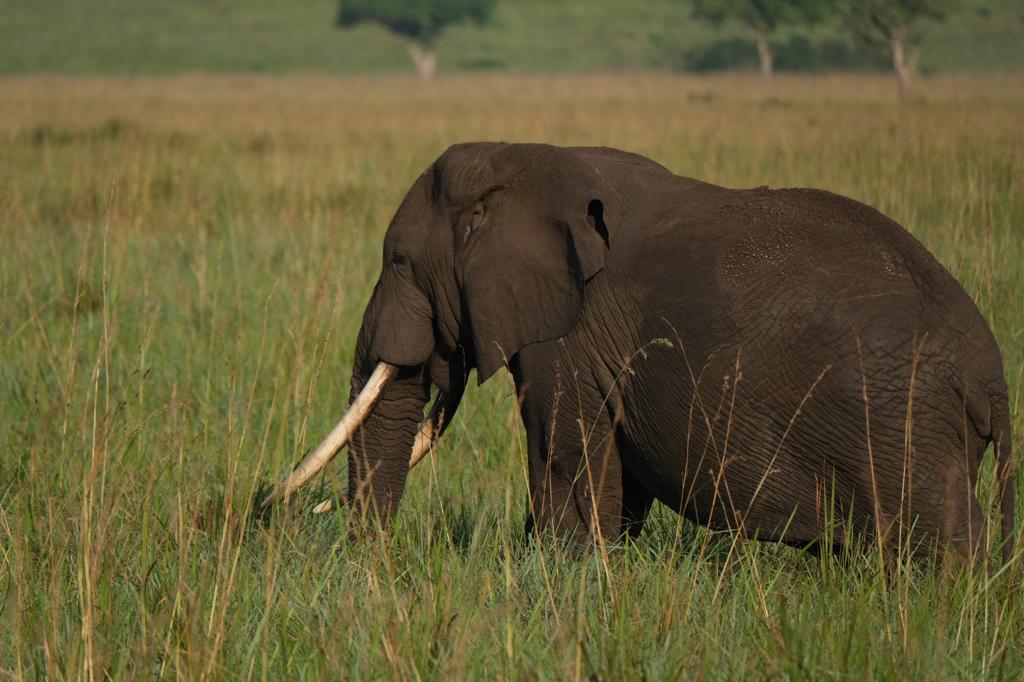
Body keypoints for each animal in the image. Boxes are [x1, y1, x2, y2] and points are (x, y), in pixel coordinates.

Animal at [263, 142, 1016, 562]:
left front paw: (561, 571)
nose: (374, 571)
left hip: (901, 422)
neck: (527, 158)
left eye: (398, 262)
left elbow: (564, 453)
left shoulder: (573, 334)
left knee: (946, 538)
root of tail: (992, 380)